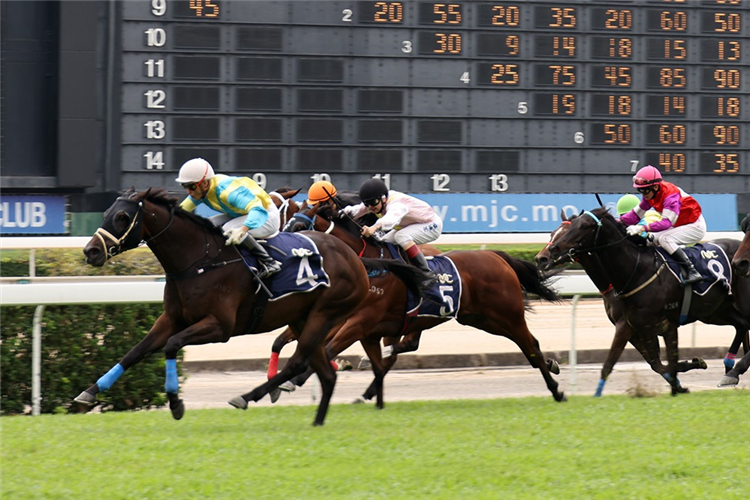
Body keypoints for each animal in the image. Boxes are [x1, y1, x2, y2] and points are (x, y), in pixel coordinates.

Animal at [278, 201, 568, 404]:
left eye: (299, 227)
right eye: (287, 224)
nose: (285, 252)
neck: (372, 265)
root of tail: (497, 256)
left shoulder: (359, 322)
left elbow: (327, 350)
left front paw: (290, 381)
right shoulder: (353, 321)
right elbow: (320, 346)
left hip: (505, 314)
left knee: (530, 345)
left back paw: (556, 389)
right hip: (479, 318)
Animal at [548, 207, 750, 394]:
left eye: (583, 226)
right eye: (553, 232)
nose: (548, 252)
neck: (636, 271)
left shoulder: (662, 325)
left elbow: (667, 363)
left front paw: (688, 373)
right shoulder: (635, 327)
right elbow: (655, 364)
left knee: (744, 325)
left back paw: (733, 369)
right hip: (715, 310)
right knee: (741, 325)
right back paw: (729, 365)